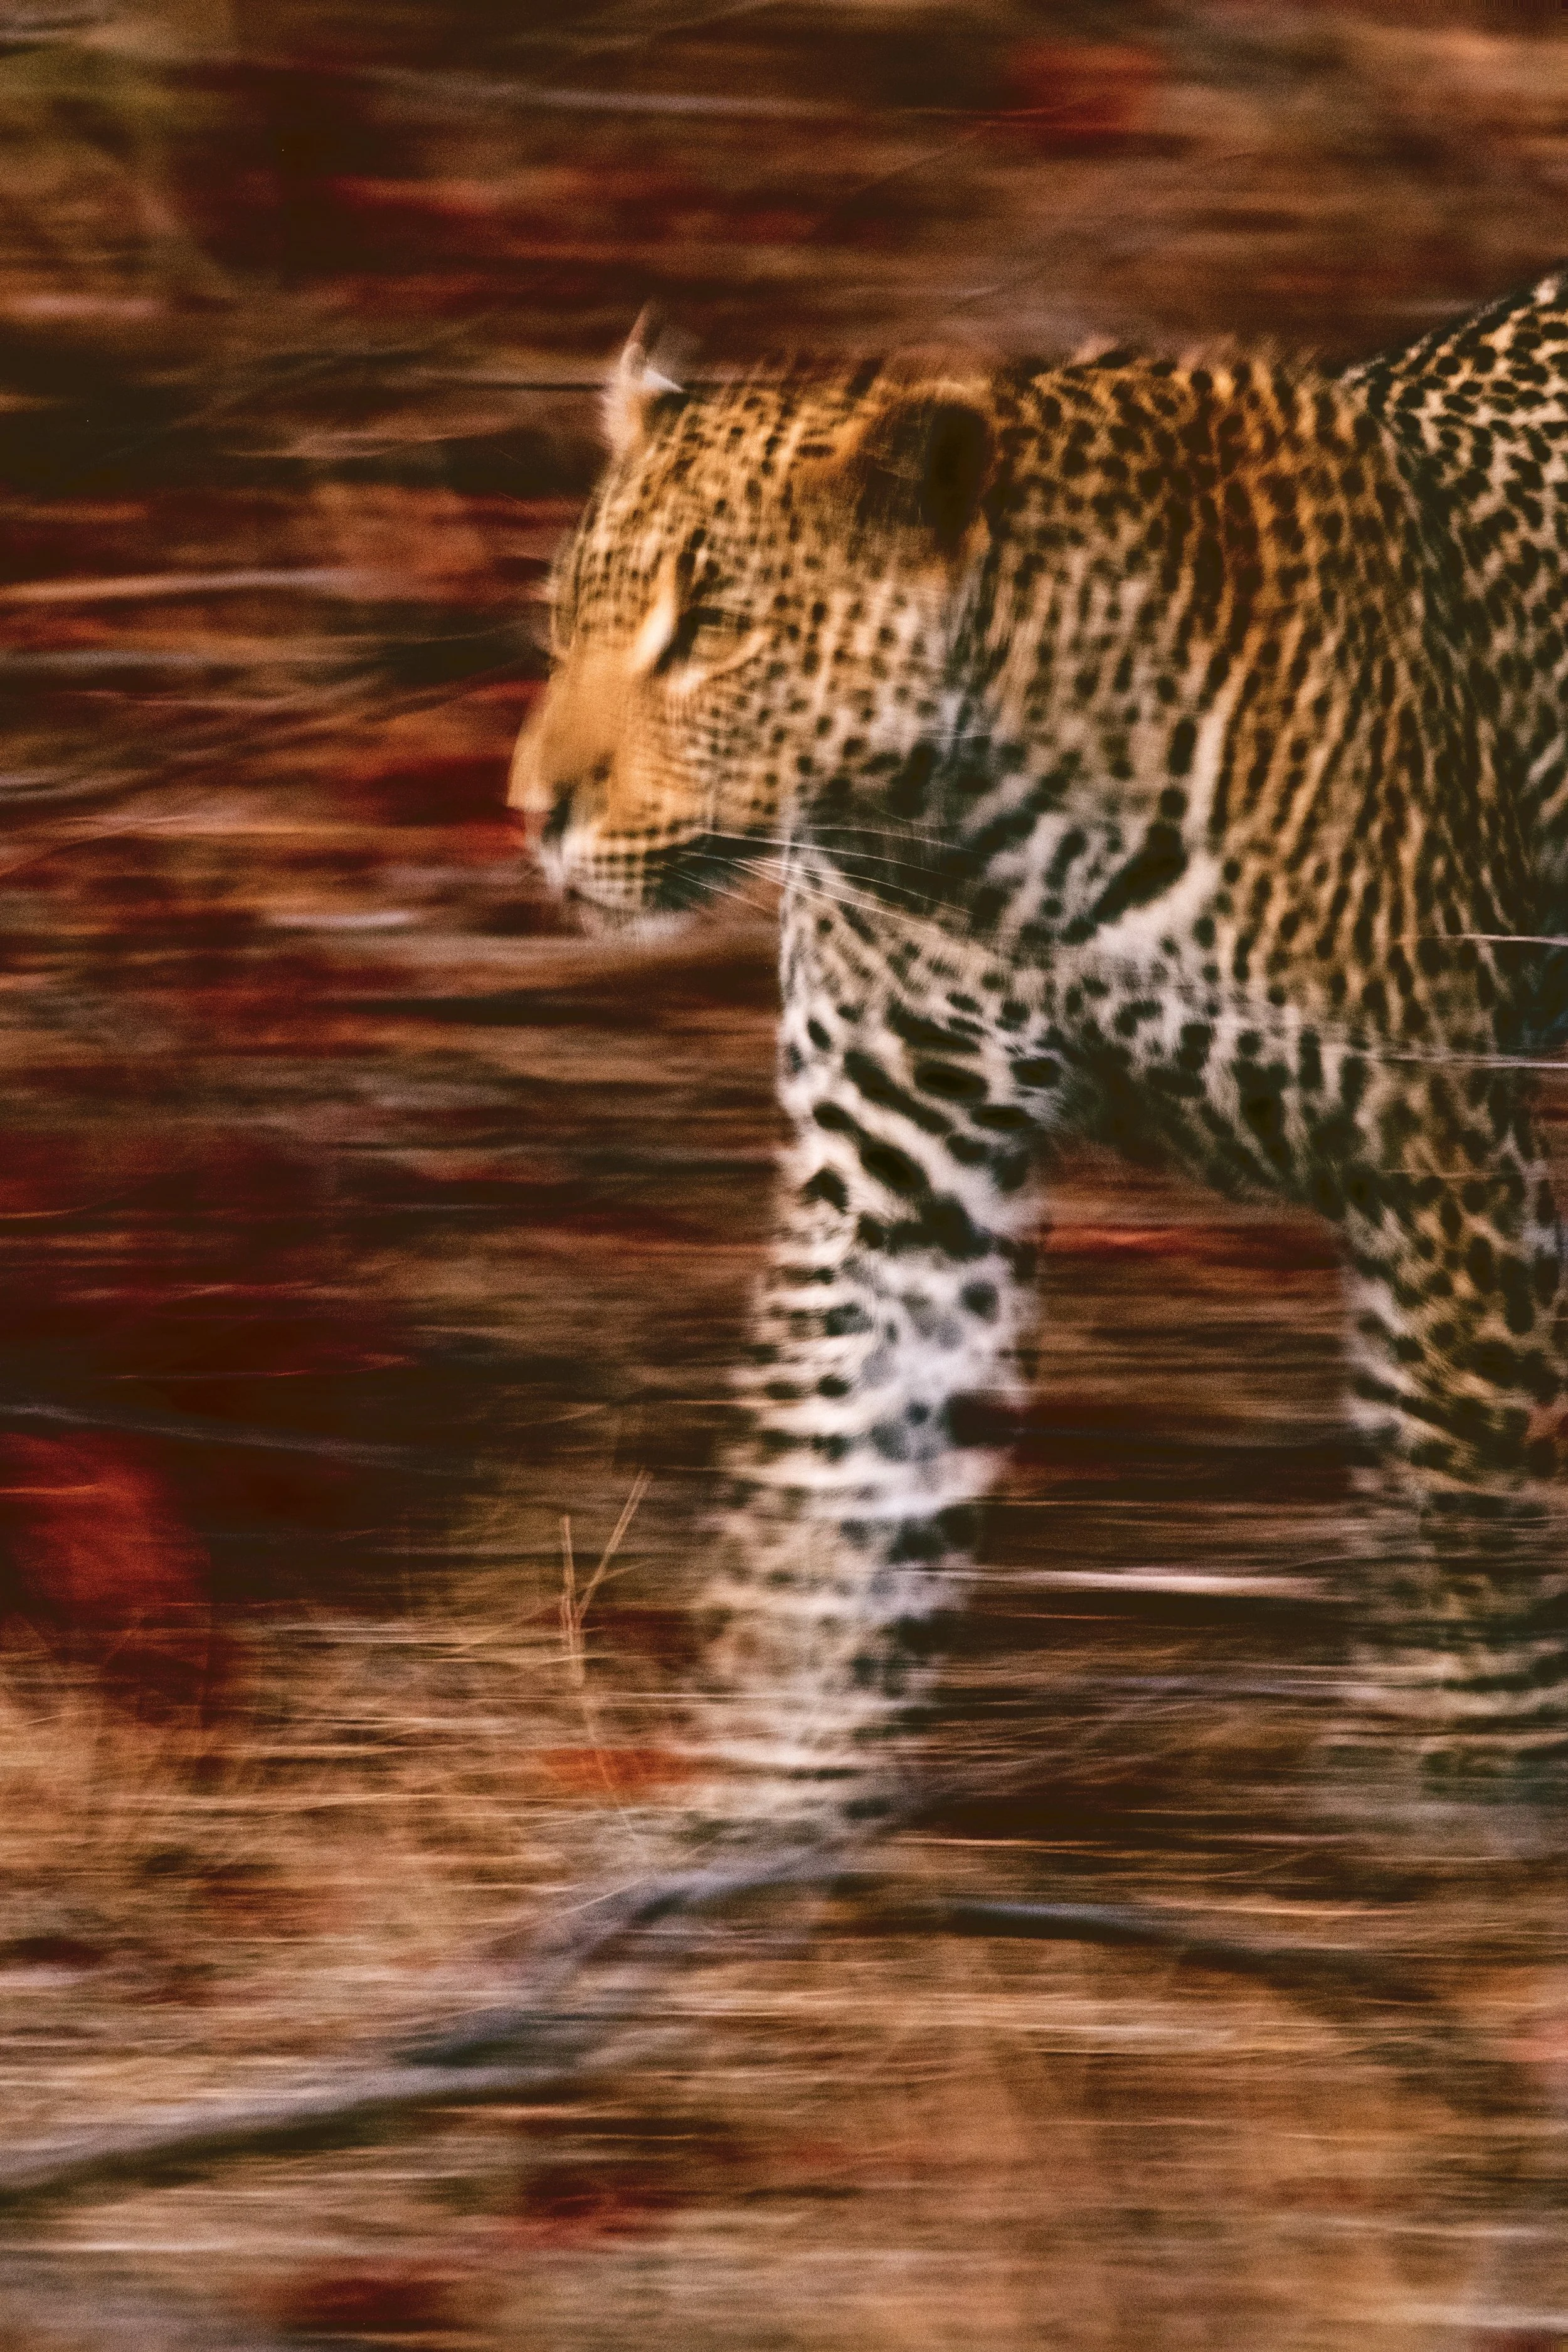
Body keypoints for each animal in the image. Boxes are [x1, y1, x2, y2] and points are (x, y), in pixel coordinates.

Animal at [509, 274, 1568, 1859]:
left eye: (714, 628)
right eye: (560, 628)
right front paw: (767, 1790)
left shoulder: (1433, 1151)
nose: (529, 811)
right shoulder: (891, 1183)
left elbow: (1457, 1498)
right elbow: (825, 1476)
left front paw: (1454, 1779)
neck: (983, 841)